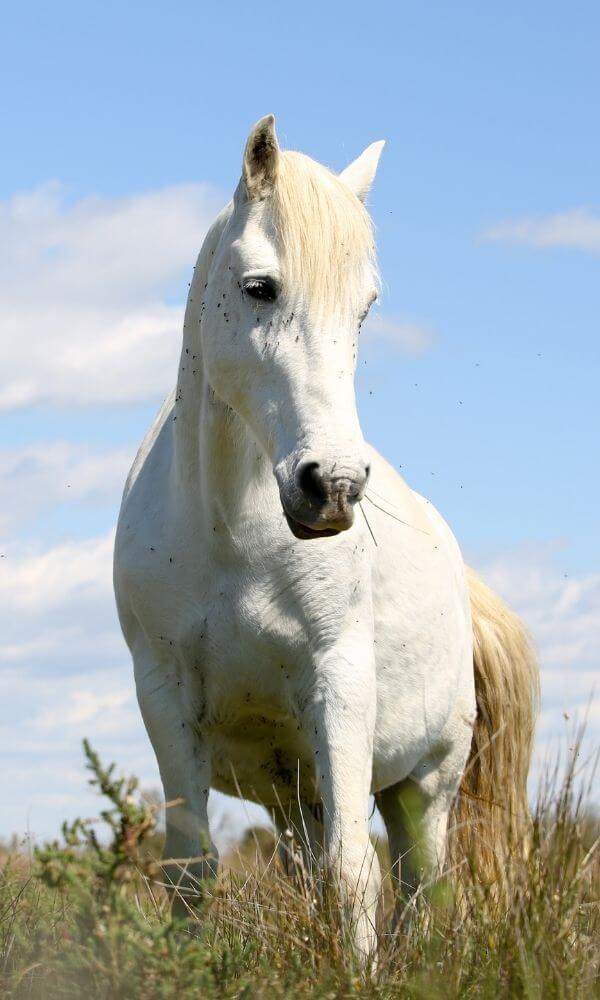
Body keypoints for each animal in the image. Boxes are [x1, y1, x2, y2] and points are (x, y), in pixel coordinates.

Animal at [113, 117, 540, 960]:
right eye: (260, 288)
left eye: (365, 308)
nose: (333, 485)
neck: (233, 536)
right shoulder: (164, 693)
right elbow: (190, 872)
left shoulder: (338, 682)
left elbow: (353, 874)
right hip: (294, 794)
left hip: (423, 786)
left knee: (421, 890)